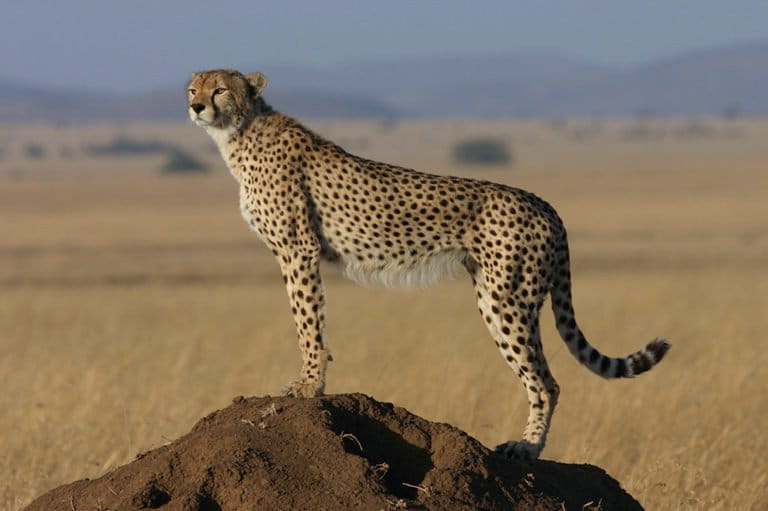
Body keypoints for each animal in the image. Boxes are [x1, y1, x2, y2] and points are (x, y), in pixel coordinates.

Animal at [188, 69, 672, 460]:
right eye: (194, 88)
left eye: (221, 90)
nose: (195, 106)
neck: (241, 133)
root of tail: (544, 204)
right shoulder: (296, 251)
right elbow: (308, 319)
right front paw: (311, 382)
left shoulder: (298, 250)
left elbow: (307, 320)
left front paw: (309, 385)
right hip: (495, 298)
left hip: (509, 300)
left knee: (546, 382)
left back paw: (528, 447)